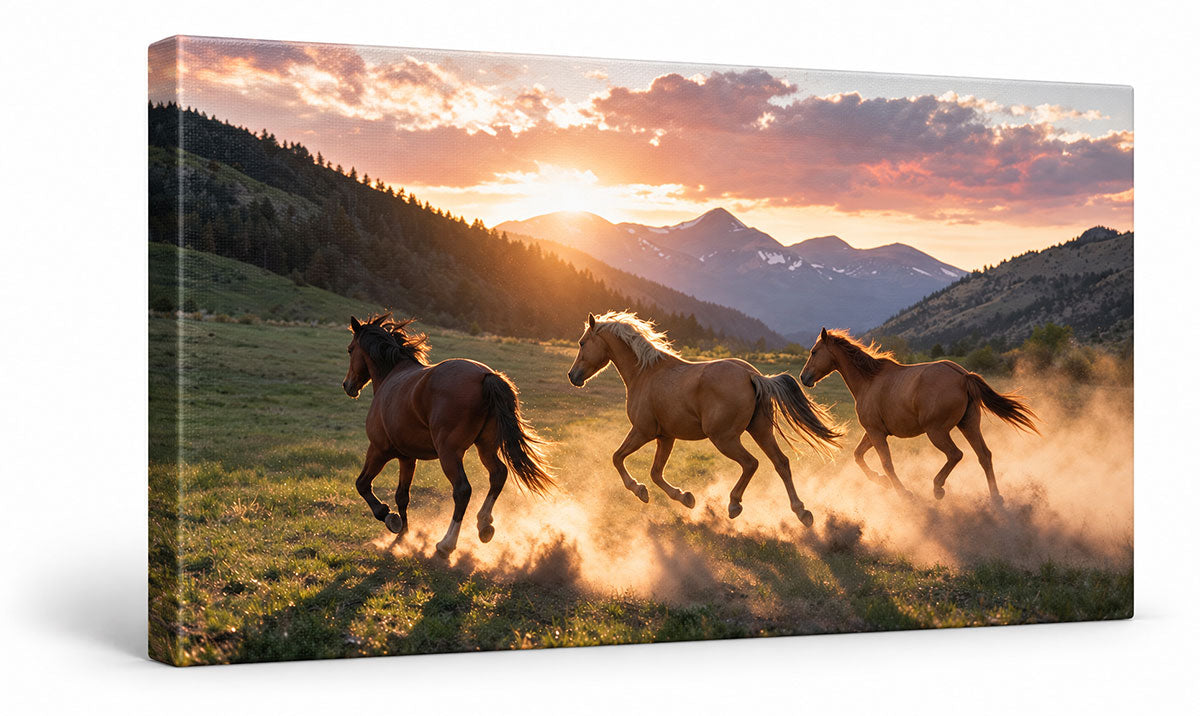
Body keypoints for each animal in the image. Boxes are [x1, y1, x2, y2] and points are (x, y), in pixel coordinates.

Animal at [342, 314, 554, 557]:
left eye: (350, 349)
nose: (348, 385)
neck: (391, 376)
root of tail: (486, 376)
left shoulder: (378, 450)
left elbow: (362, 485)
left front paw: (390, 518)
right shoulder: (407, 457)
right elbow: (402, 495)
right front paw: (403, 535)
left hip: (449, 453)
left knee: (462, 490)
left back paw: (446, 544)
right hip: (485, 446)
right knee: (498, 474)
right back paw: (484, 525)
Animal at [567, 311, 842, 526]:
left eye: (582, 343)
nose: (573, 375)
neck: (645, 374)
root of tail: (752, 375)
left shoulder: (643, 431)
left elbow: (617, 458)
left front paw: (640, 490)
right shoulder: (665, 437)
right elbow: (656, 473)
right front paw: (685, 497)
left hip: (724, 438)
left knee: (751, 463)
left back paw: (734, 505)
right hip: (761, 430)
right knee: (781, 463)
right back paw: (802, 512)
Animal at [799, 328, 1038, 503]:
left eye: (814, 352)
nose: (804, 377)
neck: (869, 380)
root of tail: (962, 376)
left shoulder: (876, 433)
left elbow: (886, 463)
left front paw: (903, 492)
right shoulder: (873, 432)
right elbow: (858, 456)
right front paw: (880, 481)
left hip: (936, 431)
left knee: (956, 454)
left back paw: (938, 487)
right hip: (968, 425)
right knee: (984, 456)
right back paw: (996, 499)